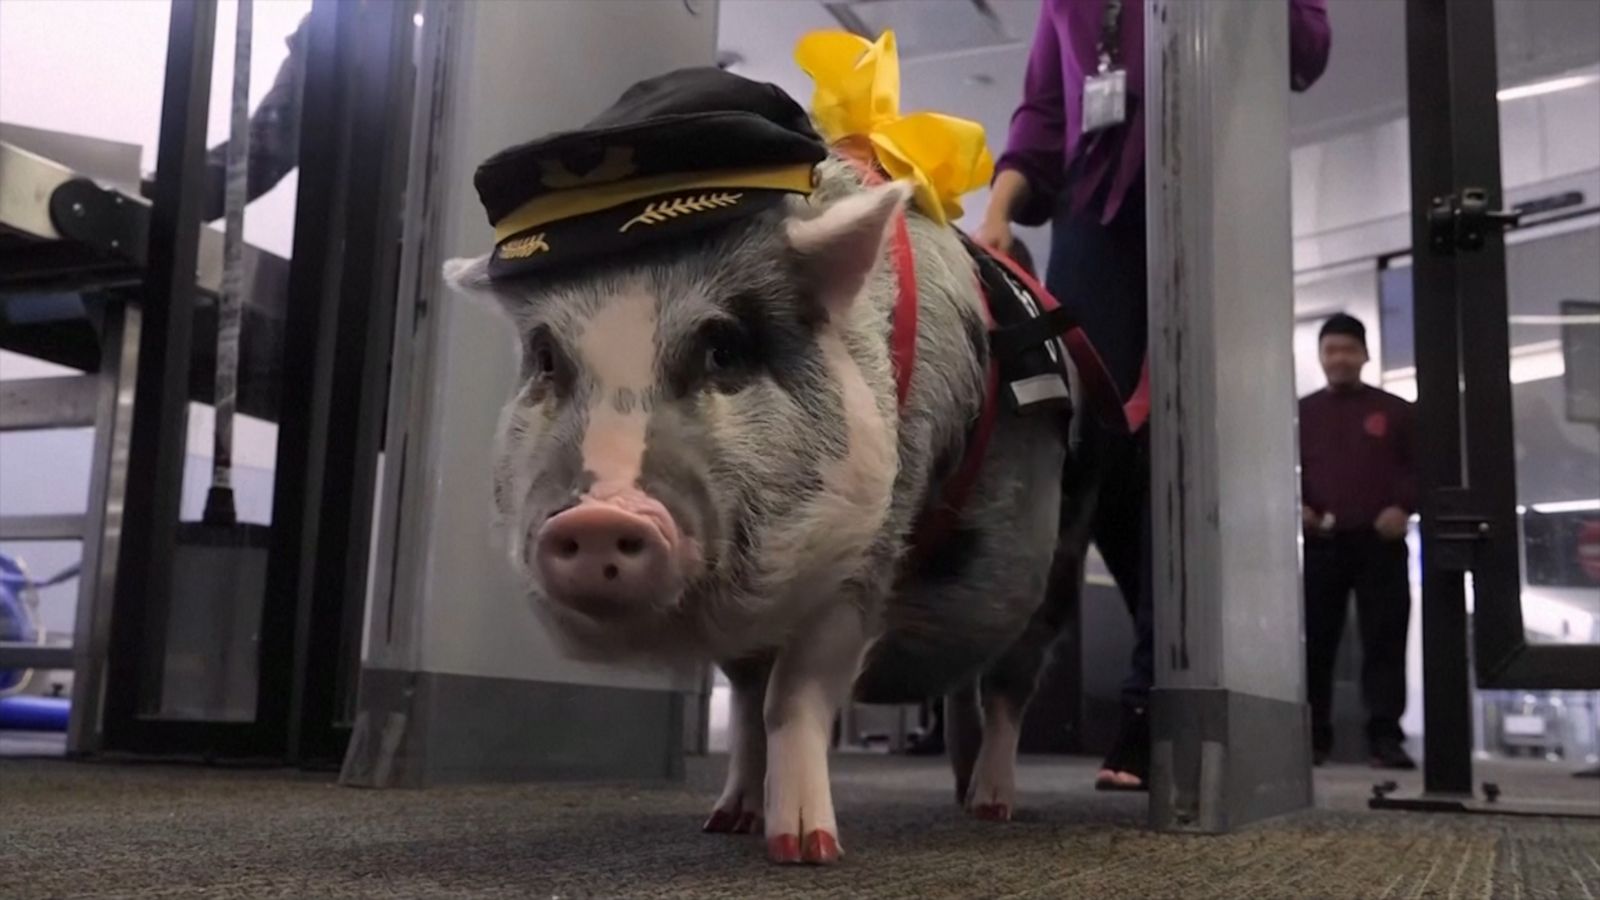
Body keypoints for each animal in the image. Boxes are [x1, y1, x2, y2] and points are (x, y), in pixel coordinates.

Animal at [448, 153, 1100, 864]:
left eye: (725, 349)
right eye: (545, 359)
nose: (599, 518)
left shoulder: (867, 557)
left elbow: (792, 697)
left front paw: (805, 849)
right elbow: (747, 706)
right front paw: (725, 820)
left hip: (1060, 568)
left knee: (1010, 685)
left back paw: (992, 806)